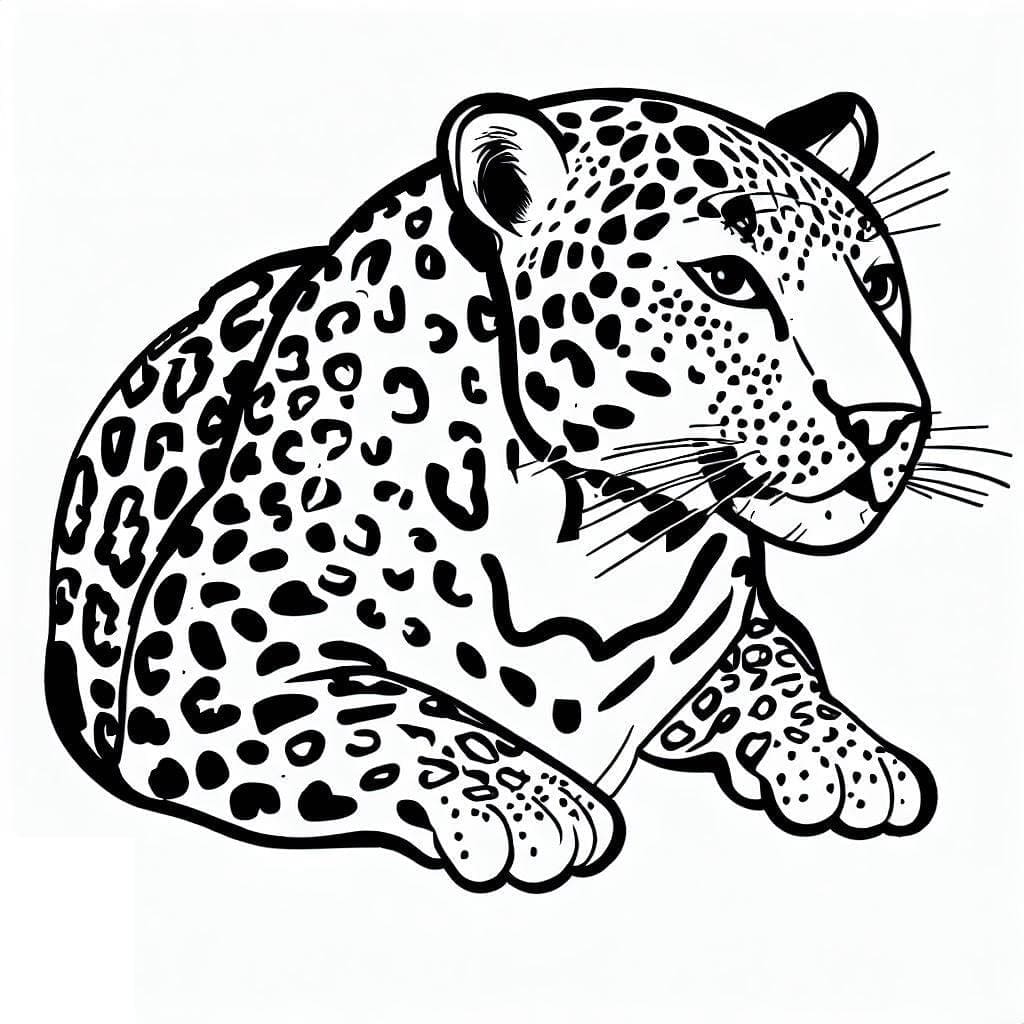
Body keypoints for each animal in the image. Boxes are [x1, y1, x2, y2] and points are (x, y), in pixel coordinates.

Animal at [46, 88, 943, 892]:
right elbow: (389, 708)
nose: (890, 420)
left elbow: (774, 659)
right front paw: (525, 799)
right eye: (727, 277)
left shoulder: (732, 624)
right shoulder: (207, 665)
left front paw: (852, 755)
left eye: (879, 284)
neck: (602, 541)